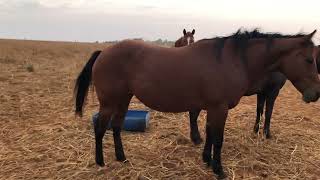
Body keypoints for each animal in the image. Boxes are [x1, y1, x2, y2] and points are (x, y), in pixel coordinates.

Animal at [188, 44, 320, 143]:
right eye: (309, 61)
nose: (316, 93)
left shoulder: (261, 92)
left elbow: (259, 111)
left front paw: (256, 130)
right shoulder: (273, 92)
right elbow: (268, 112)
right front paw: (267, 134)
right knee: (193, 114)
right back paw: (197, 139)